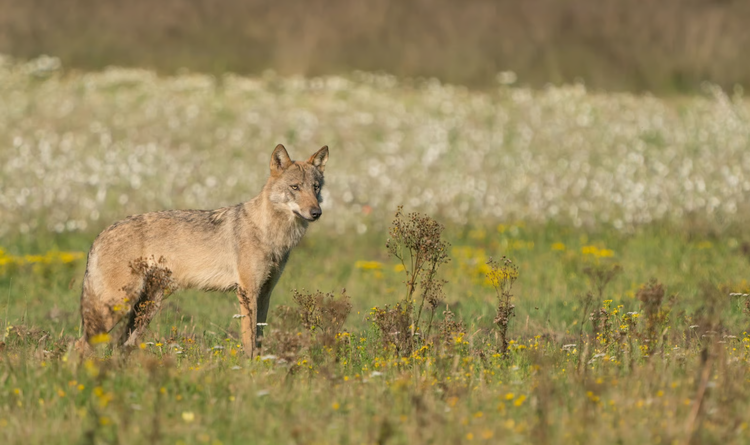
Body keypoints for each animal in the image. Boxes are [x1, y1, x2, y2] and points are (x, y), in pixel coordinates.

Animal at [75, 144, 329, 357]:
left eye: (315, 188)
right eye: (295, 187)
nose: (316, 213)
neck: (270, 233)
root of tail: (101, 234)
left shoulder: (265, 293)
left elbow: (259, 337)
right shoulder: (247, 292)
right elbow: (249, 341)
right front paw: (249, 369)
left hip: (146, 309)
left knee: (121, 345)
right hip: (116, 307)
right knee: (79, 344)